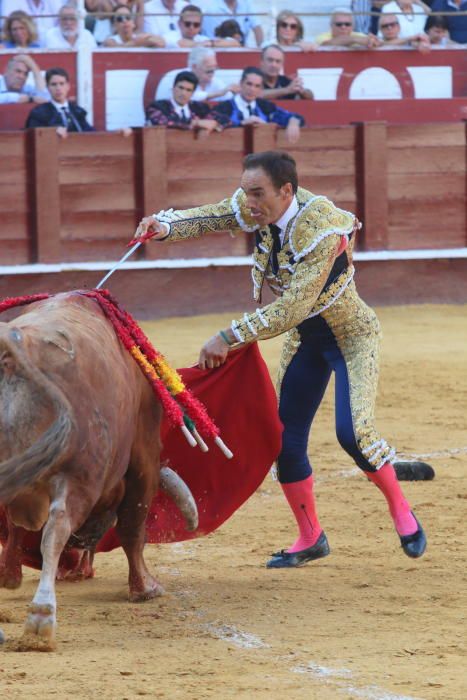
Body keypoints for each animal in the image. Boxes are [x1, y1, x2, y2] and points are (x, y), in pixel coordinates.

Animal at [0, 292, 198, 652]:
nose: (84, 552)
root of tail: (16, 344)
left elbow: (15, 527)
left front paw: (8, 576)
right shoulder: (144, 454)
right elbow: (133, 526)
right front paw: (145, 588)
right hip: (80, 475)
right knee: (58, 526)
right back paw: (41, 618)